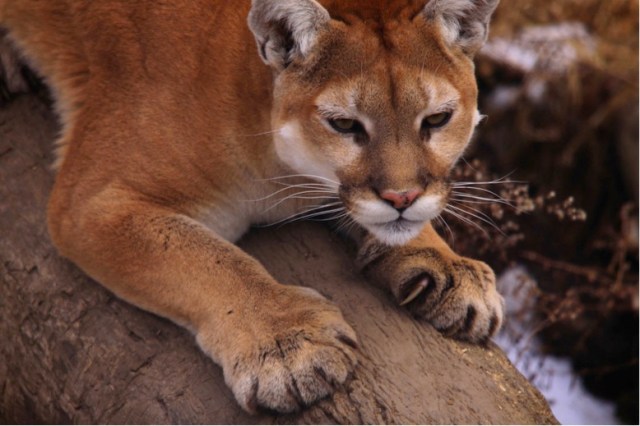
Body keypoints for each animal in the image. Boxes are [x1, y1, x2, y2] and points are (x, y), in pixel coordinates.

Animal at [0, 0, 503, 414]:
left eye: (437, 119)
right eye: (344, 125)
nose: (401, 198)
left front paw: (448, 263)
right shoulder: (94, 199)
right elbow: (206, 260)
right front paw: (286, 346)